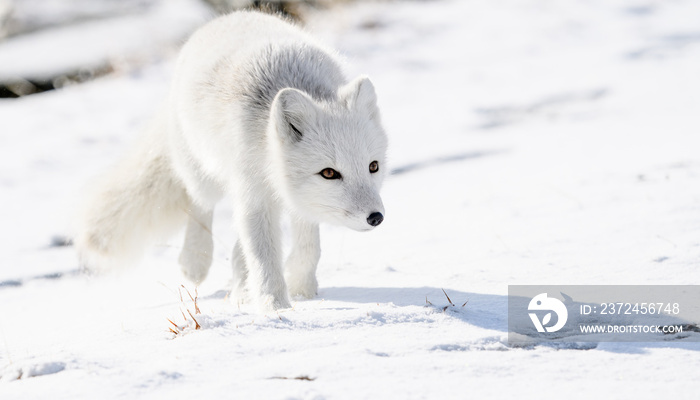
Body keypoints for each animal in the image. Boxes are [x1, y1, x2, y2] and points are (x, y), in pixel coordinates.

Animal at [75, 8, 388, 310]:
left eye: (373, 167)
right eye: (330, 173)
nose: (376, 218)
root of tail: (229, 17)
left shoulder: (298, 198)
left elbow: (309, 246)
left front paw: (301, 288)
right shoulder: (254, 195)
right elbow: (264, 258)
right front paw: (275, 308)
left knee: (237, 246)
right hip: (205, 175)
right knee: (200, 204)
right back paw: (195, 261)